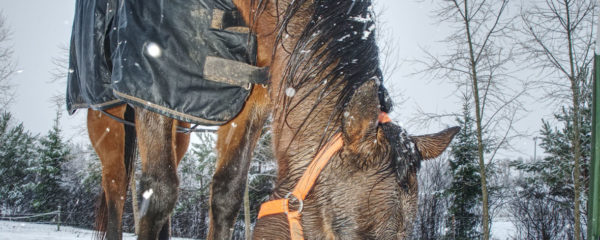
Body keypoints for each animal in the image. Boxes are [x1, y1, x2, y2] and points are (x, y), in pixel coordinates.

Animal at [68, 0, 458, 240]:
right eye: (340, 233)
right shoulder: (153, 81)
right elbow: (159, 192)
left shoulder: (251, 102)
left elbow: (226, 196)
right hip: (108, 118)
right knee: (119, 188)